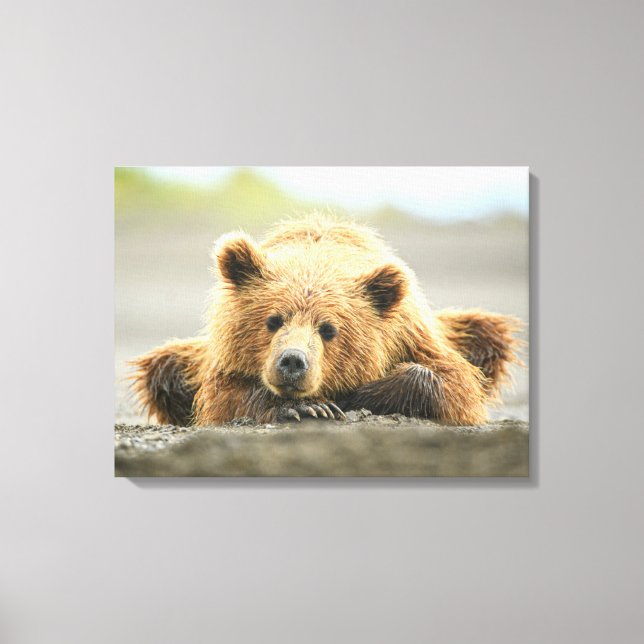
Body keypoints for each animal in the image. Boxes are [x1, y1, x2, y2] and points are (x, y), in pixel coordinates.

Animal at [130, 215, 522, 427]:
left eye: (329, 329)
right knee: (163, 368)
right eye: (273, 320)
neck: (318, 257)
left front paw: (352, 396)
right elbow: (222, 397)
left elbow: (454, 384)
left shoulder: (412, 335)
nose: (292, 361)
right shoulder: (222, 360)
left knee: (489, 334)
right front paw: (308, 406)